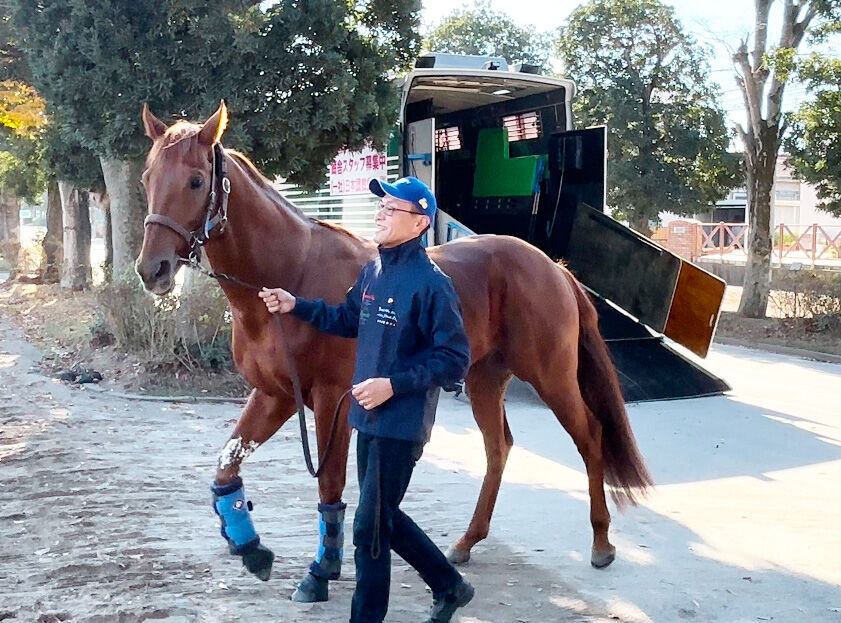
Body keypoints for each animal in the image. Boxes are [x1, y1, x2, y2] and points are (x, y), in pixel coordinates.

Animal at [136, 102, 648, 600]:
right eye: (146, 178)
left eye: (196, 180)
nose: (151, 269)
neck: (291, 273)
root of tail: (553, 267)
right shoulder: (275, 395)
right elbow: (227, 466)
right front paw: (251, 549)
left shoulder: (332, 401)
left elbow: (330, 483)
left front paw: (321, 571)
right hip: (485, 378)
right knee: (498, 449)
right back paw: (467, 541)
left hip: (551, 376)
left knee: (591, 437)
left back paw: (601, 542)